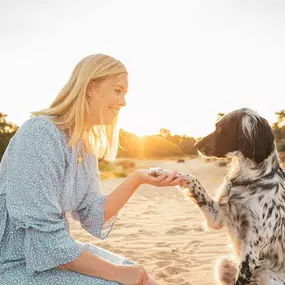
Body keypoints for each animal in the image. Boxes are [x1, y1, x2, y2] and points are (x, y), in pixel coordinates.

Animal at [149, 107, 284, 282]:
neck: (250, 178)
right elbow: (192, 179)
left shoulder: (251, 249)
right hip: (223, 263)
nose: (196, 144)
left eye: (221, 128)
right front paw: (161, 172)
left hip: (267, 276)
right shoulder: (217, 217)